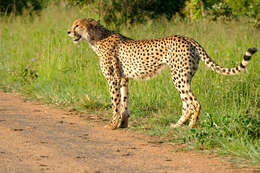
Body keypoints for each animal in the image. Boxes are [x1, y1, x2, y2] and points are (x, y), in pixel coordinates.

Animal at [68, 18, 256, 129]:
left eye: (77, 25)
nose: (68, 32)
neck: (97, 38)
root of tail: (187, 38)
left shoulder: (112, 79)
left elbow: (115, 103)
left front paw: (113, 124)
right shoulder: (123, 79)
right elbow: (124, 102)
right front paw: (123, 123)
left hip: (178, 76)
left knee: (194, 103)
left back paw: (191, 126)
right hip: (184, 76)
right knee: (186, 103)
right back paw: (177, 125)